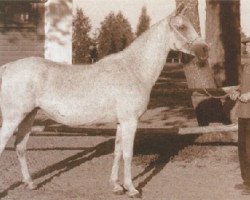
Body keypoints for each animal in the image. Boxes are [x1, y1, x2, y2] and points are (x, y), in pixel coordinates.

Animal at [0, 3, 208, 198]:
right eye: (181, 27)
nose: (205, 50)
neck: (133, 69)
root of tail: (7, 68)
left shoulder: (120, 122)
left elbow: (117, 152)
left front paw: (116, 186)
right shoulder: (130, 121)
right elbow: (128, 154)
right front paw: (131, 189)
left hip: (28, 116)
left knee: (20, 147)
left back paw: (30, 183)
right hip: (13, 118)